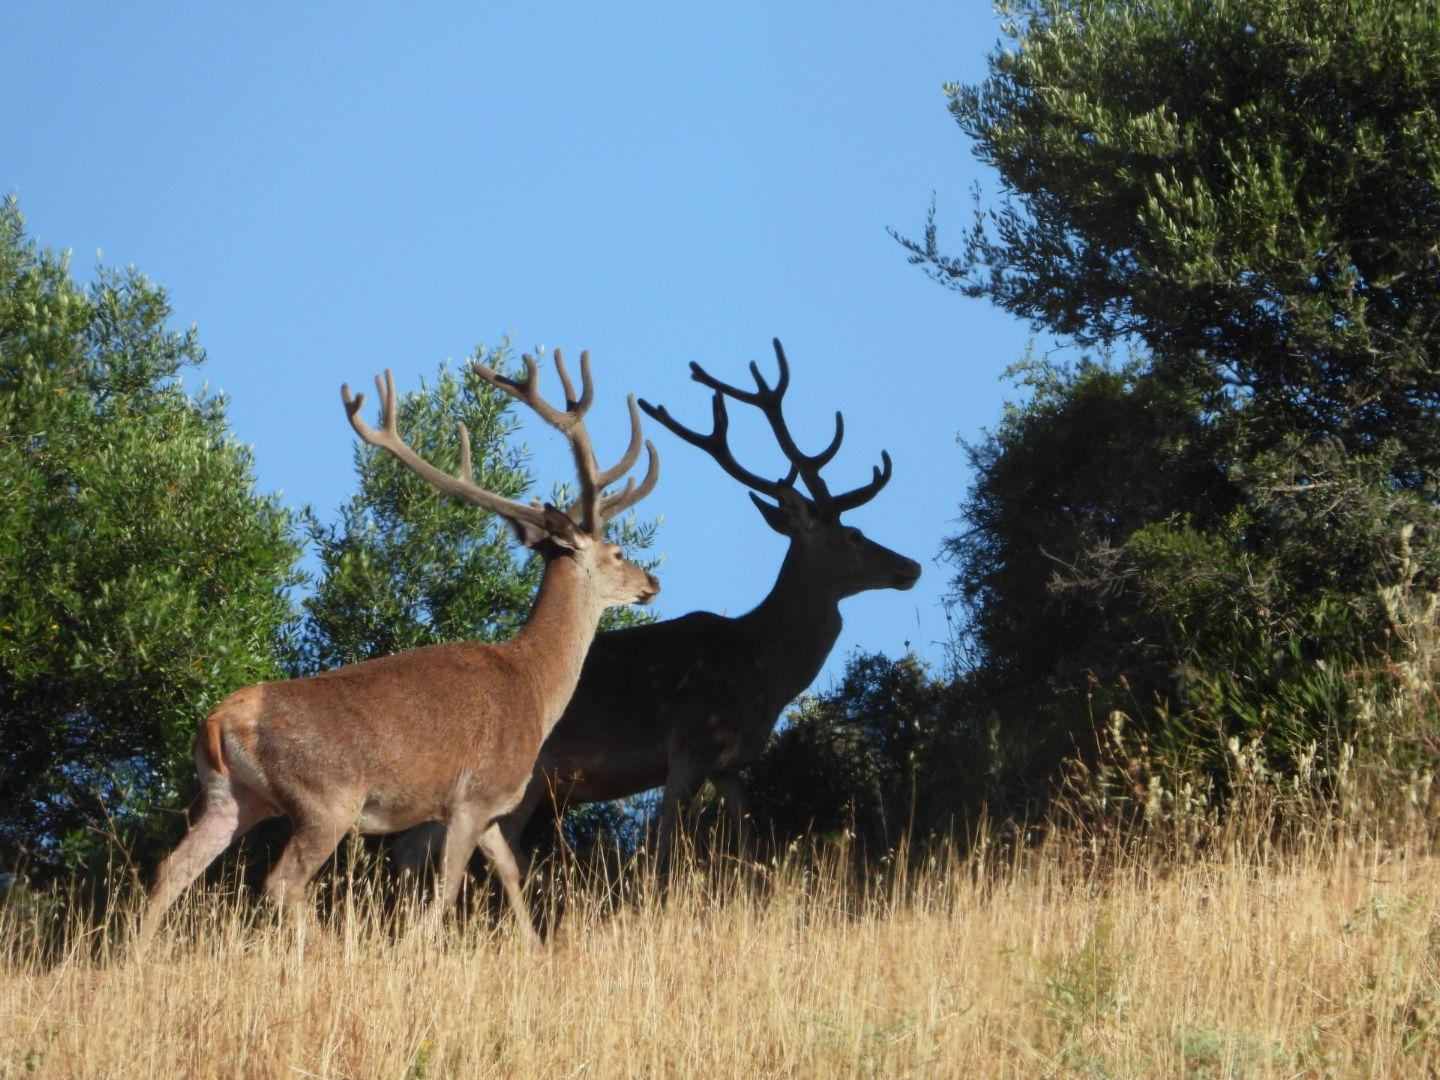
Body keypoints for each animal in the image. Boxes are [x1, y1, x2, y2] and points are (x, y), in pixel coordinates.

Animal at [136, 349, 659, 952]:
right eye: (617, 552)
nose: (652, 582)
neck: (533, 682)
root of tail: (217, 722)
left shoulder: (482, 810)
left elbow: (509, 871)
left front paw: (535, 949)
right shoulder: (473, 795)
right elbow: (447, 890)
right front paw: (415, 952)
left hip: (232, 797)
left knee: (172, 868)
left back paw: (135, 958)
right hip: (326, 797)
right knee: (282, 881)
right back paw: (330, 954)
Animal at [395, 338, 920, 879]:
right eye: (854, 535)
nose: (911, 566)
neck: (763, 669)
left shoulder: (730, 766)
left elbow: (749, 843)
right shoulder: (689, 745)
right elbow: (665, 845)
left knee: (411, 847)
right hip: (529, 775)